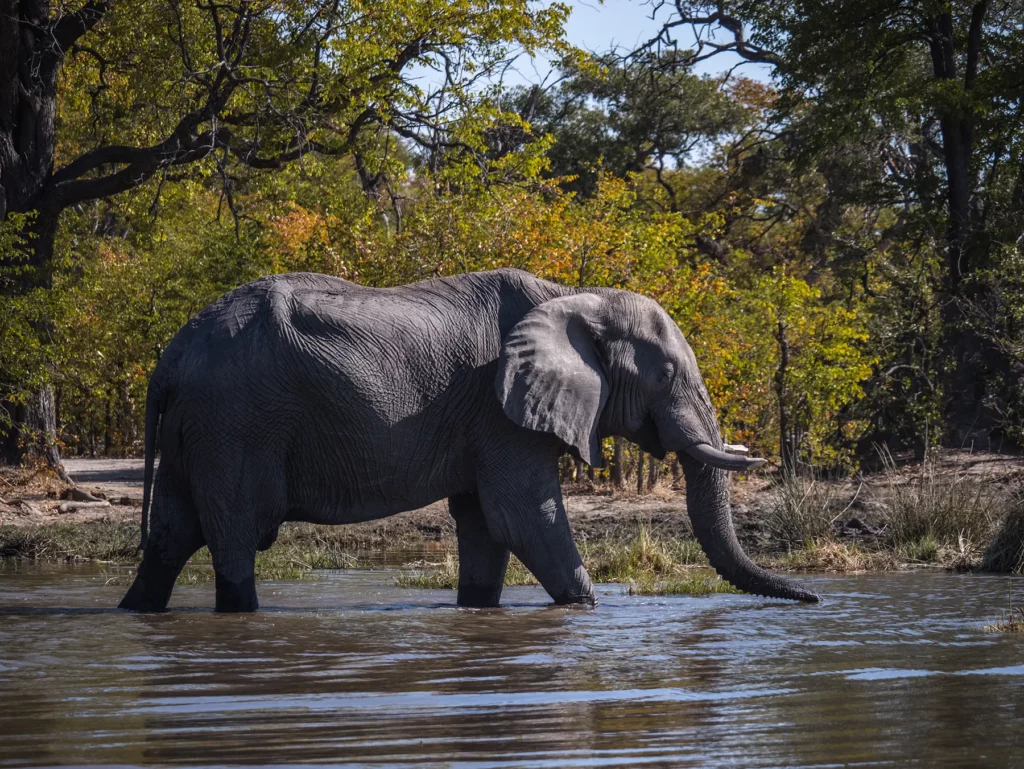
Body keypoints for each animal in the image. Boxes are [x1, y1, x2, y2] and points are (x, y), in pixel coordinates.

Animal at [119, 268, 819, 612]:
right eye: (670, 375)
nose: (813, 599)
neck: (575, 296)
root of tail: (168, 361)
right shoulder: (499, 410)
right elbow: (525, 516)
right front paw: (586, 609)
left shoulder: (484, 420)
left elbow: (485, 524)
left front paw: (479, 614)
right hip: (233, 423)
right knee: (233, 535)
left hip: (197, 430)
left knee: (172, 535)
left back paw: (137, 613)